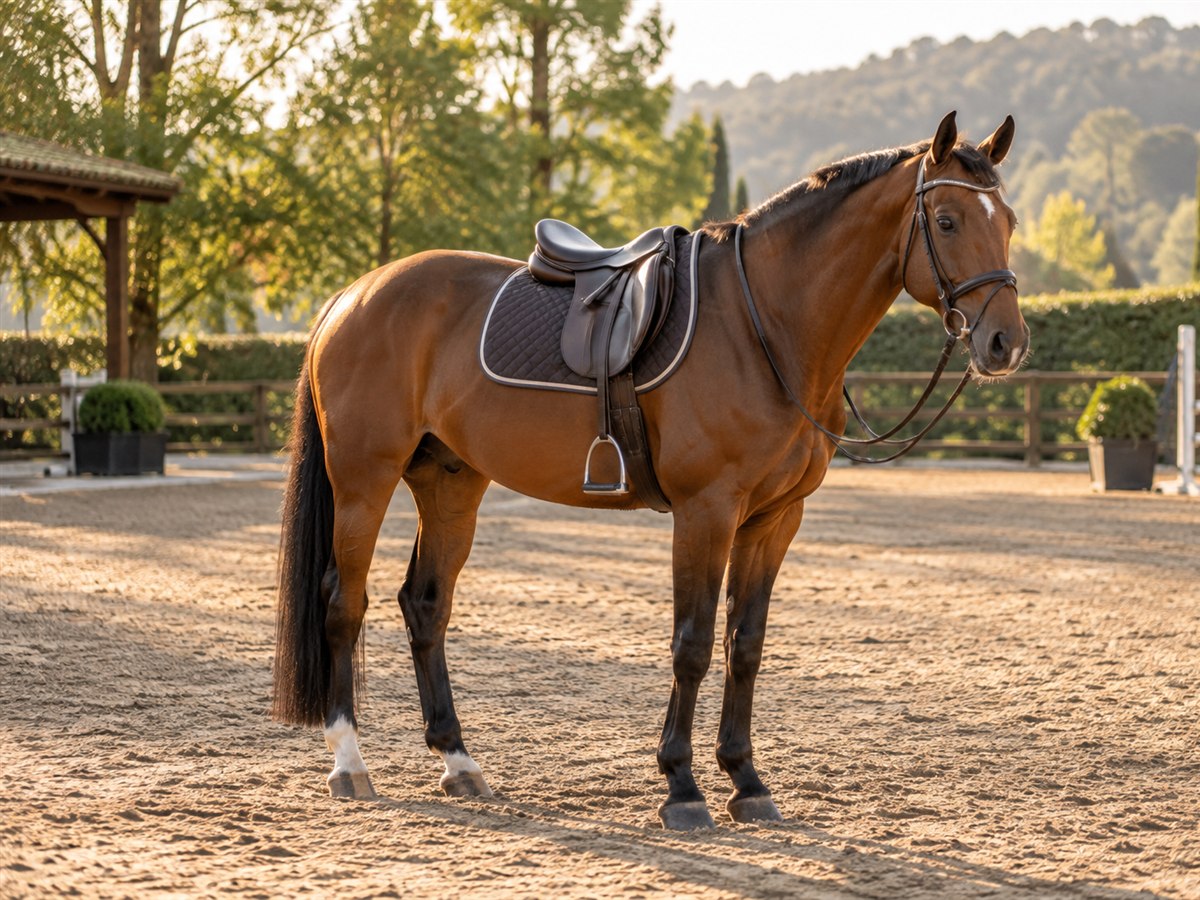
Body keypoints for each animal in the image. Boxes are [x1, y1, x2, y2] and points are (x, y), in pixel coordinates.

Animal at [272, 111, 1029, 830]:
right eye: (947, 220)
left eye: (1009, 222)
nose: (1006, 343)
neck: (764, 324)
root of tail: (352, 297)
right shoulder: (706, 512)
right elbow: (691, 645)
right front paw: (682, 787)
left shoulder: (775, 519)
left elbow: (745, 645)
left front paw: (747, 782)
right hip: (364, 480)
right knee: (343, 601)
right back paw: (350, 764)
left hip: (451, 483)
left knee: (425, 606)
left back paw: (458, 761)